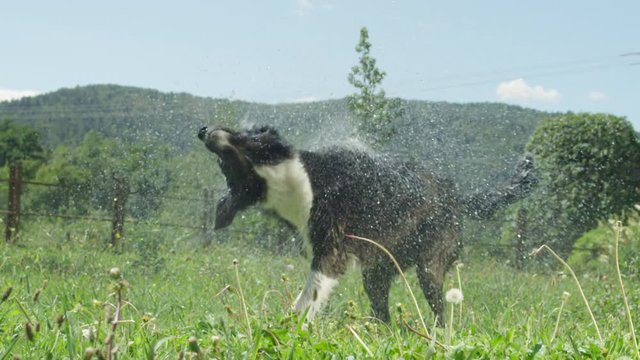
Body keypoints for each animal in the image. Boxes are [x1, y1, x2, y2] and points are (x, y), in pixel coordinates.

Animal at [196, 124, 536, 324]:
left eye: (247, 136)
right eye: (224, 166)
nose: (203, 130)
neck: (295, 179)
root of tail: (457, 194)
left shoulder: (330, 254)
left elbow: (306, 299)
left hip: (430, 267)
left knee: (441, 311)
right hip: (377, 271)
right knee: (383, 312)